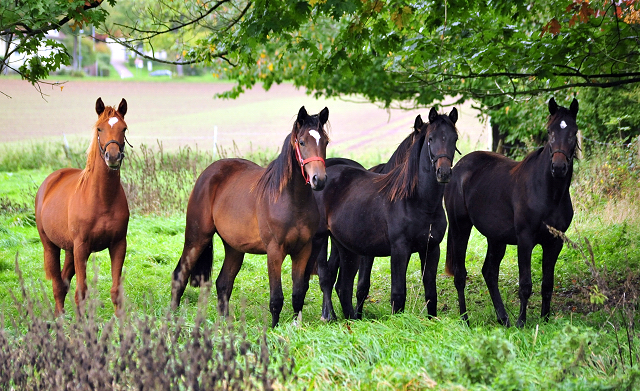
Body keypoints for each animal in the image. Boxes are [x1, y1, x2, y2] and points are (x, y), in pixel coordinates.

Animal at [35, 98, 131, 316]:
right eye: (99, 128)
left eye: (124, 128)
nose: (113, 157)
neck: (102, 200)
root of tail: (50, 181)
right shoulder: (81, 248)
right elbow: (81, 292)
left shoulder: (118, 245)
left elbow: (116, 292)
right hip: (51, 246)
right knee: (57, 284)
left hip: (70, 250)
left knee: (63, 282)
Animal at [171, 106, 330, 328]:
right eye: (302, 142)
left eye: (325, 141)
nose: (319, 179)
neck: (291, 200)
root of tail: (207, 173)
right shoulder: (275, 251)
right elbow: (276, 298)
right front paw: (273, 328)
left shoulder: (303, 250)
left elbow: (298, 294)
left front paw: (295, 327)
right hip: (197, 239)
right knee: (180, 275)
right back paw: (172, 317)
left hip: (234, 248)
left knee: (223, 283)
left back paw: (225, 323)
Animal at [312, 108, 458, 322]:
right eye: (431, 139)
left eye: (455, 138)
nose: (444, 173)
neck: (419, 202)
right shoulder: (399, 250)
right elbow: (397, 293)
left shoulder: (431, 249)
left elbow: (431, 292)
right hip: (323, 240)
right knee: (327, 278)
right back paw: (329, 316)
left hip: (346, 247)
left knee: (343, 286)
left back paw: (351, 320)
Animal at [444, 98, 580, 328]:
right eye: (550, 131)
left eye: (573, 131)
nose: (559, 167)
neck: (548, 191)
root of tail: (458, 168)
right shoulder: (525, 239)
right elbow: (525, 284)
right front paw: (521, 323)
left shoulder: (555, 242)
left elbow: (547, 284)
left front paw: (544, 320)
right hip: (459, 227)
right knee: (460, 274)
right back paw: (465, 319)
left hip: (496, 238)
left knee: (489, 272)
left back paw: (503, 317)